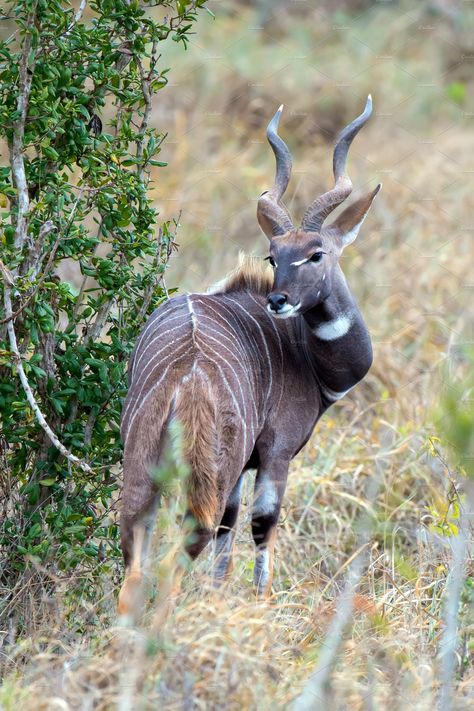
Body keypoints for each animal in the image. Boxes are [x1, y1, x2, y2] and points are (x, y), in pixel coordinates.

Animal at [119, 96, 382, 616]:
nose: (278, 300)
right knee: (177, 559)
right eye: (272, 256)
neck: (305, 356)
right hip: (207, 475)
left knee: (136, 568)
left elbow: (230, 529)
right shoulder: (275, 451)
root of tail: (185, 379)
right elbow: (263, 525)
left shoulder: (243, 468)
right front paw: (261, 606)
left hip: (142, 467)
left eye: (316, 253)